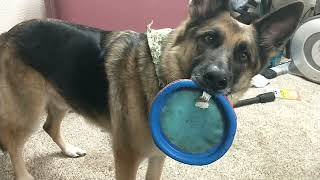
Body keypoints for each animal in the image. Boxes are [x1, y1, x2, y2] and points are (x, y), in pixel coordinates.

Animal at [0, 0, 304, 179]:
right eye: (209, 38)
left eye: (243, 55)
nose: (215, 79)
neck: (160, 76)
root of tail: (8, 32)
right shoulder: (127, 159)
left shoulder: (158, 157)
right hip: (30, 110)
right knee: (14, 142)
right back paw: (23, 174)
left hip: (62, 95)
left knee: (49, 127)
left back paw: (68, 150)